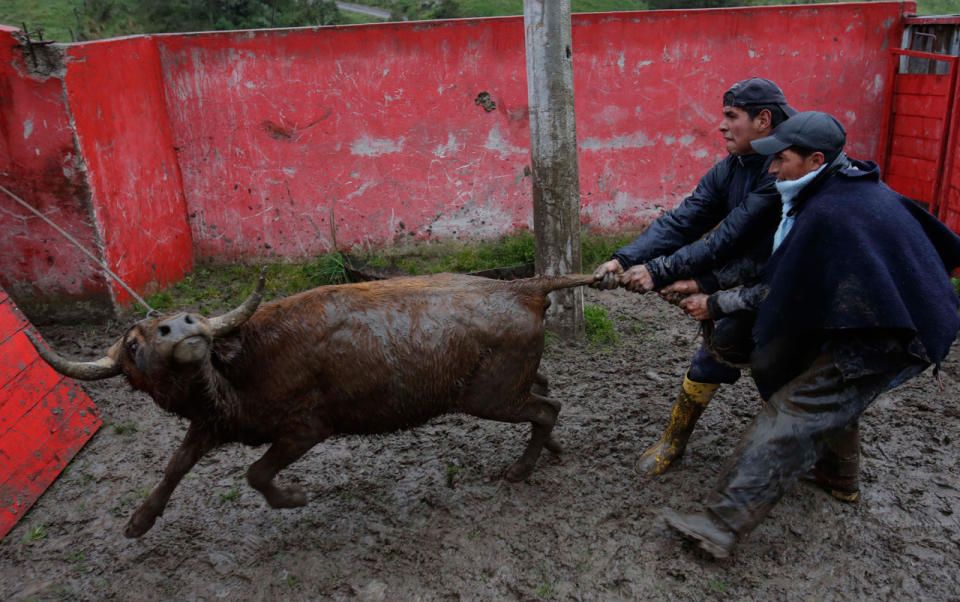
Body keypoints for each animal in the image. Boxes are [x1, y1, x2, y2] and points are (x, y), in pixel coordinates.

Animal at [30, 270, 596, 536]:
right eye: (131, 344)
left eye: (184, 317)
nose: (182, 325)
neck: (241, 364)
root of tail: (524, 287)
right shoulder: (214, 423)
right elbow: (174, 466)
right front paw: (139, 522)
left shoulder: (307, 428)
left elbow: (256, 474)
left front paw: (296, 497)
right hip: (509, 384)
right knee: (548, 393)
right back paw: (551, 452)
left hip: (489, 396)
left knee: (546, 408)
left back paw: (521, 470)